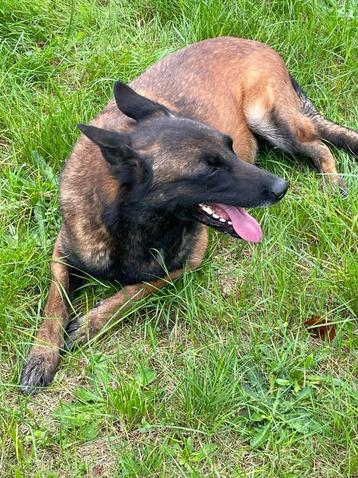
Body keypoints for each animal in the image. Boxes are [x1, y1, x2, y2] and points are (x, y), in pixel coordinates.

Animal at [21, 37, 356, 394]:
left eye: (230, 147)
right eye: (209, 169)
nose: (282, 188)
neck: (131, 223)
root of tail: (256, 43)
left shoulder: (188, 260)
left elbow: (136, 289)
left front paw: (91, 322)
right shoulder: (62, 252)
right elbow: (54, 305)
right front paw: (41, 356)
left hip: (272, 121)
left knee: (320, 146)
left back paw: (333, 182)